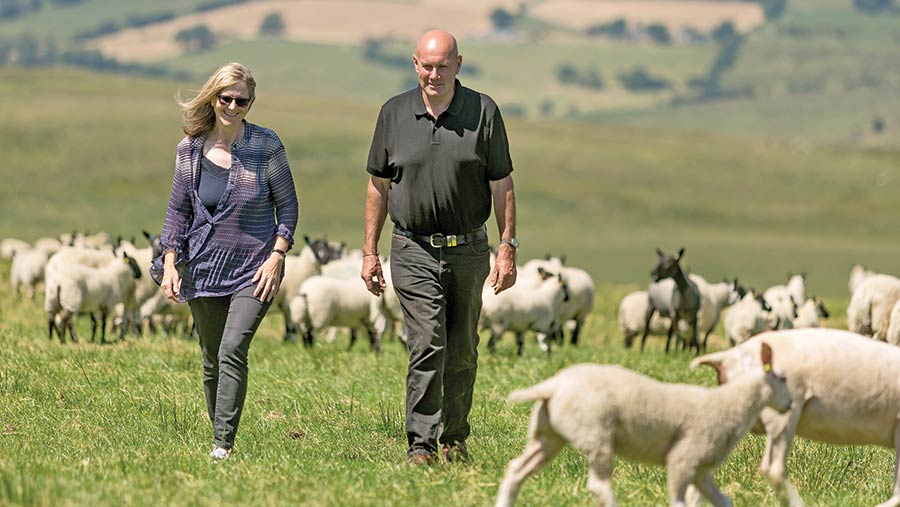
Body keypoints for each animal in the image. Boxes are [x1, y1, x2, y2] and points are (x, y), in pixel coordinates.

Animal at [496, 342, 792, 507]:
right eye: (783, 378)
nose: (790, 404)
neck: (730, 403)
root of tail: (554, 384)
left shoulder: (701, 471)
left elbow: (723, 501)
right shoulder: (683, 459)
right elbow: (679, 502)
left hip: (547, 434)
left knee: (516, 469)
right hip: (596, 435)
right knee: (599, 486)